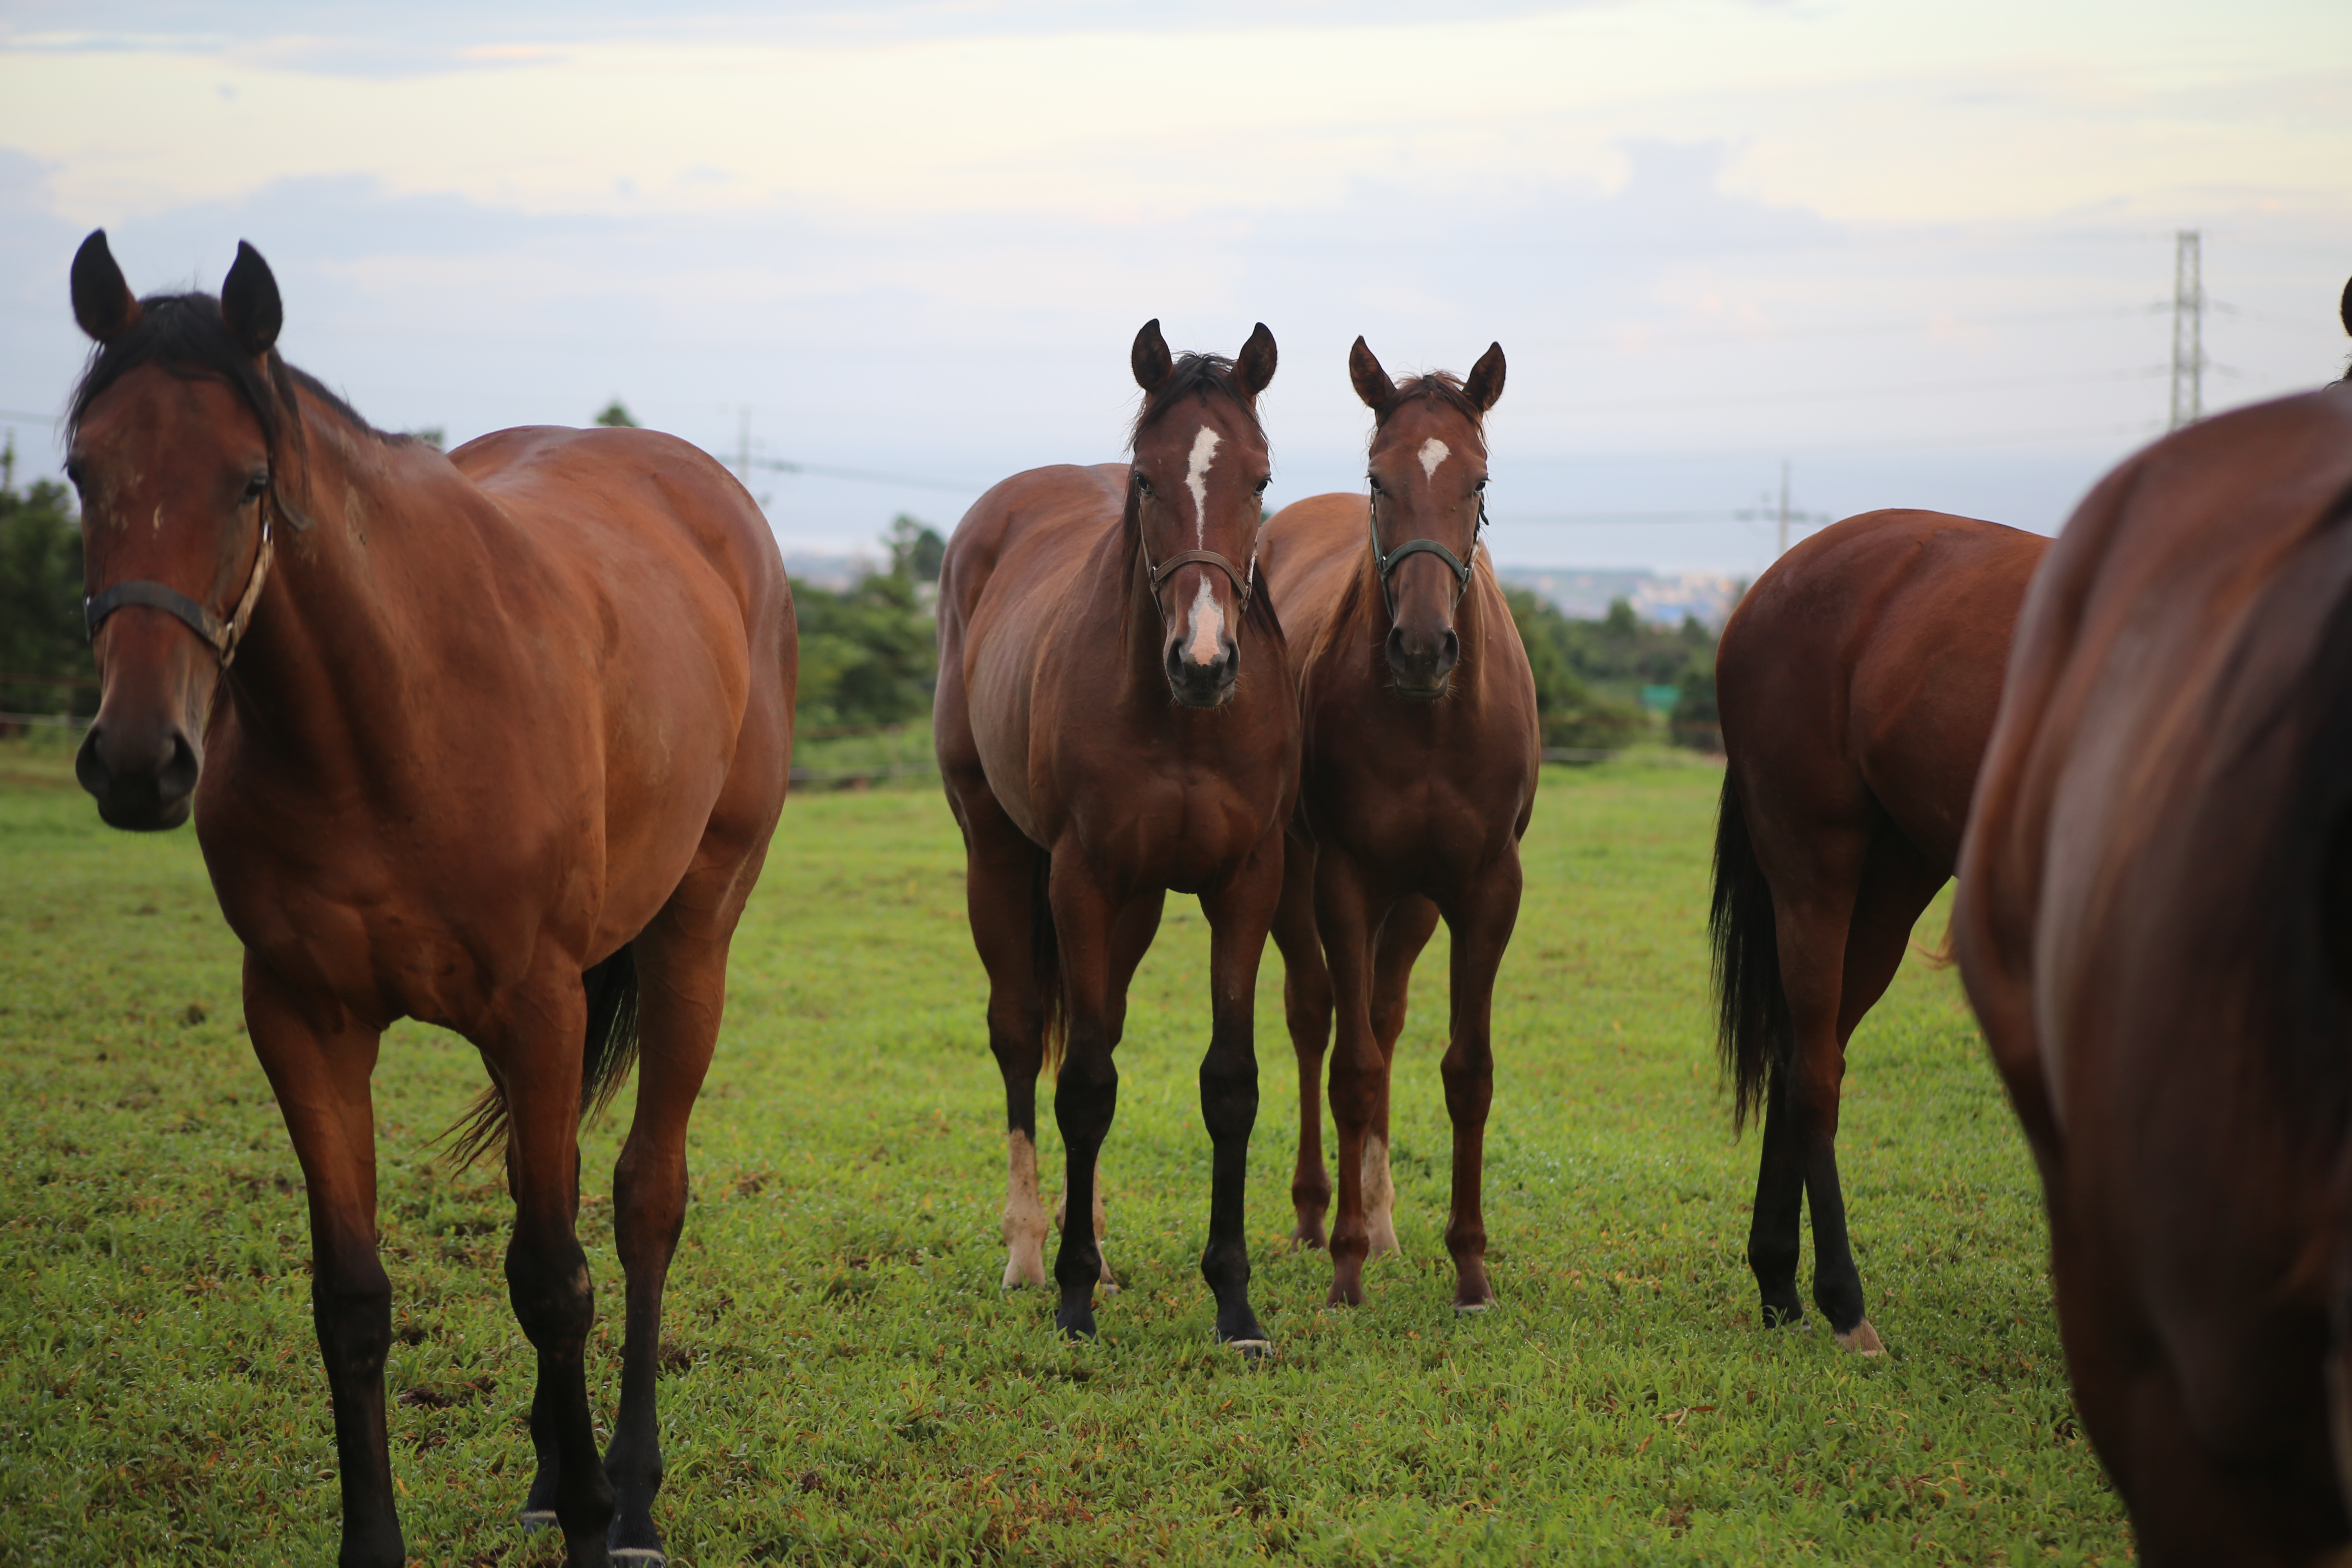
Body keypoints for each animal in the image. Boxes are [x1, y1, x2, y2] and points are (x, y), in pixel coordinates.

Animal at [62, 232, 800, 1568]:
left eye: (250, 481)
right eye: (84, 472)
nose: (139, 759)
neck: (382, 721)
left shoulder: (540, 1006)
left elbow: (556, 1278)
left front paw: (595, 1516)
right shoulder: (302, 1019)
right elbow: (354, 1297)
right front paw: (390, 1536)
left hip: (692, 938)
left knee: (644, 1200)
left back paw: (628, 1490)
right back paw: (559, 1471)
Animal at [936, 319, 1307, 1354]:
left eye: (1261, 477)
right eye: (1145, 479)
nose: (1204, 661)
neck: (1181, 719)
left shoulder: (1244, 882)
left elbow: (1228, 1082)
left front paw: (1234, 1303)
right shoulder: (1082, 879)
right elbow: (1085, 1085)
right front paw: (1068, 1297)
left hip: (1136, 905)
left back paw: (1094, 1247)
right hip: (998, 854)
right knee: (1024, 1034)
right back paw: (1034, 1250)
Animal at [1261, 341, 1533, 1316]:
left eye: (1478, 481)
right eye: (1379, 479)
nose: (1422, 648)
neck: (1428, 722)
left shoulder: (1486, 890)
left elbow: (1468, 1071)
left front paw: (1471, 1269)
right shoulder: (1343, 881)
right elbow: (1353, 1068)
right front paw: (1344, 1269)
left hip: (1412, 906)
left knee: (1381, 1013)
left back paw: (1381, 1224)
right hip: (1295, 881)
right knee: (1317, 1019)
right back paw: (1320, 1217)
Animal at [1722, 510, 2051, 1354]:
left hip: (1893, 881)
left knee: (1802, 1056)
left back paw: (1778, 1282)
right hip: (1814, 867)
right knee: (1813, 1074)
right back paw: (1842, 1301)